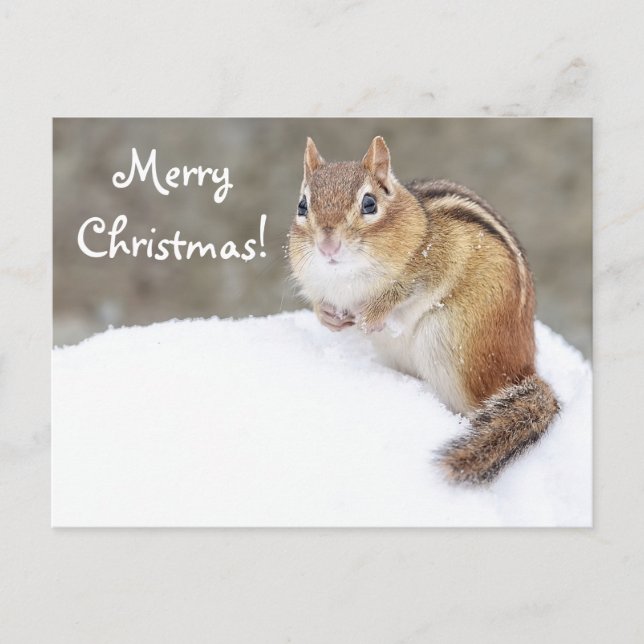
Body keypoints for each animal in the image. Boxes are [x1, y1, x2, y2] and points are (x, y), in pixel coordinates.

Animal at [288, 135, 560, 485]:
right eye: (302, 206)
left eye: (369, 204)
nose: (327, 247)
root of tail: (524, 368)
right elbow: (320, 302)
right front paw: (329, 318)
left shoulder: (439, 257)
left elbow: (402, 291)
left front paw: (370, 318)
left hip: (449, 343)